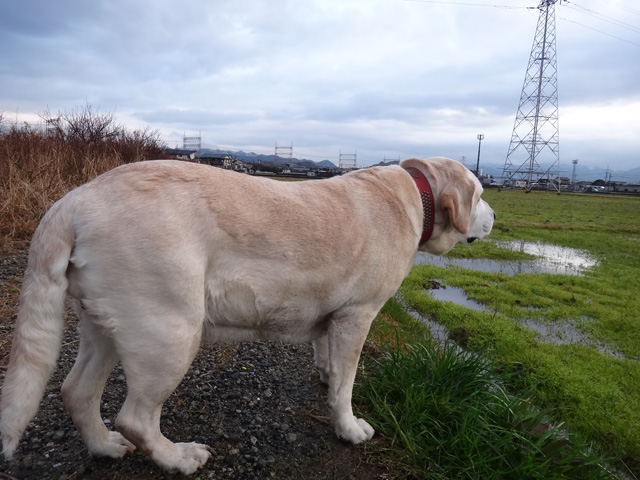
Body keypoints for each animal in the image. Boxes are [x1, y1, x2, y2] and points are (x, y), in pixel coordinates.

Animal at [0, 155, 496, 472]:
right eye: (480, 193)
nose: (493, 216)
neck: (418, 198)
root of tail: (75, 200)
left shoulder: (332, 318)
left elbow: (328, 361)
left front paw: (325, 375)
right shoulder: (357, 315)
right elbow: (347, 386)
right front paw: (348, 427)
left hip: (104, 325)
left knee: (76, 392)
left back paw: (103, 447)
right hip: (170, 332)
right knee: (136, 418)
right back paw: (178, 458)